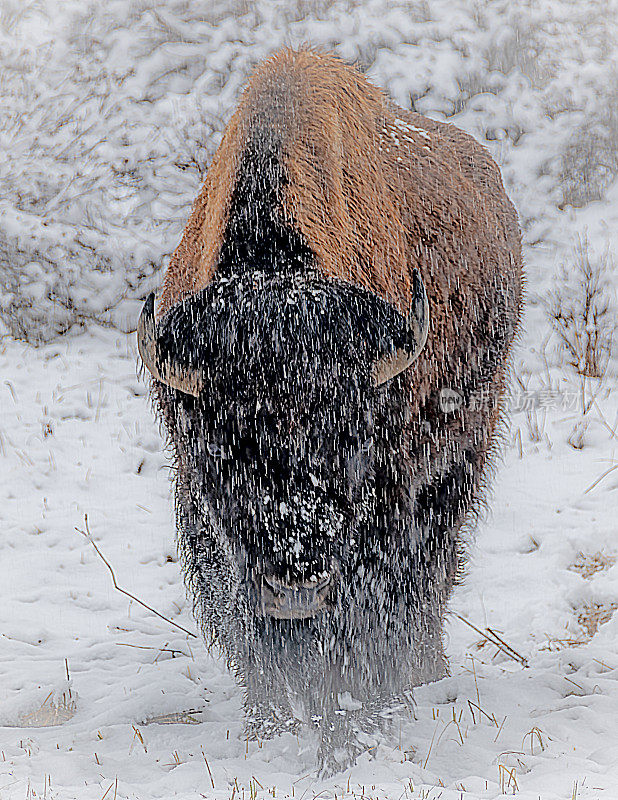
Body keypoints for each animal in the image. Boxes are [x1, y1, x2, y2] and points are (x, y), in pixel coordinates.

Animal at [137, 48, 524, 768]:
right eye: (225, 449)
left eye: (348, 439)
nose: (295, 590)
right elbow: (250, 631)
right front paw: (269, 730)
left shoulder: (388, 497)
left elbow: (365, 621)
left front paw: (354, 731)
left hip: (459, 458)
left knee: (430, 577)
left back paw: (419, 678)